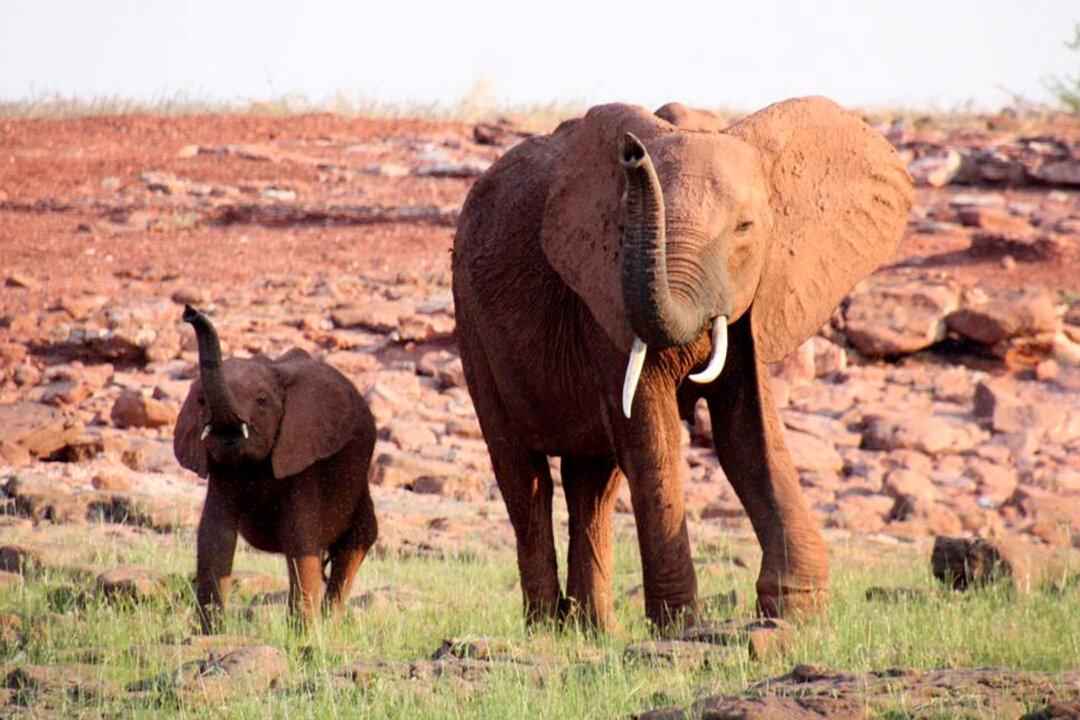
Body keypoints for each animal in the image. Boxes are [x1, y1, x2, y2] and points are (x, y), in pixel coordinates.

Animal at [174, 305, 377, 630]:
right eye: (201, 401)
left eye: (262, 400)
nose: (189, 312)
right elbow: (215, 535)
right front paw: (210, 632)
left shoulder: (304, 458)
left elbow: (299, 537)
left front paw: (304, 635)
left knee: (355, 543)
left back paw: (330, 625)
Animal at [451, 96, 912, 631]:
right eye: (623, 229)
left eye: (745, 228)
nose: (632, 153)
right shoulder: (604, 299)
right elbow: (653, 434)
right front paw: (682, 625)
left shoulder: (756, 300)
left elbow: (748, 433)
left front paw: (798, 613)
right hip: (471, 324)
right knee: (524, 476)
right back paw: (548, 628)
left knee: (593, 484)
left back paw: (592, 631)